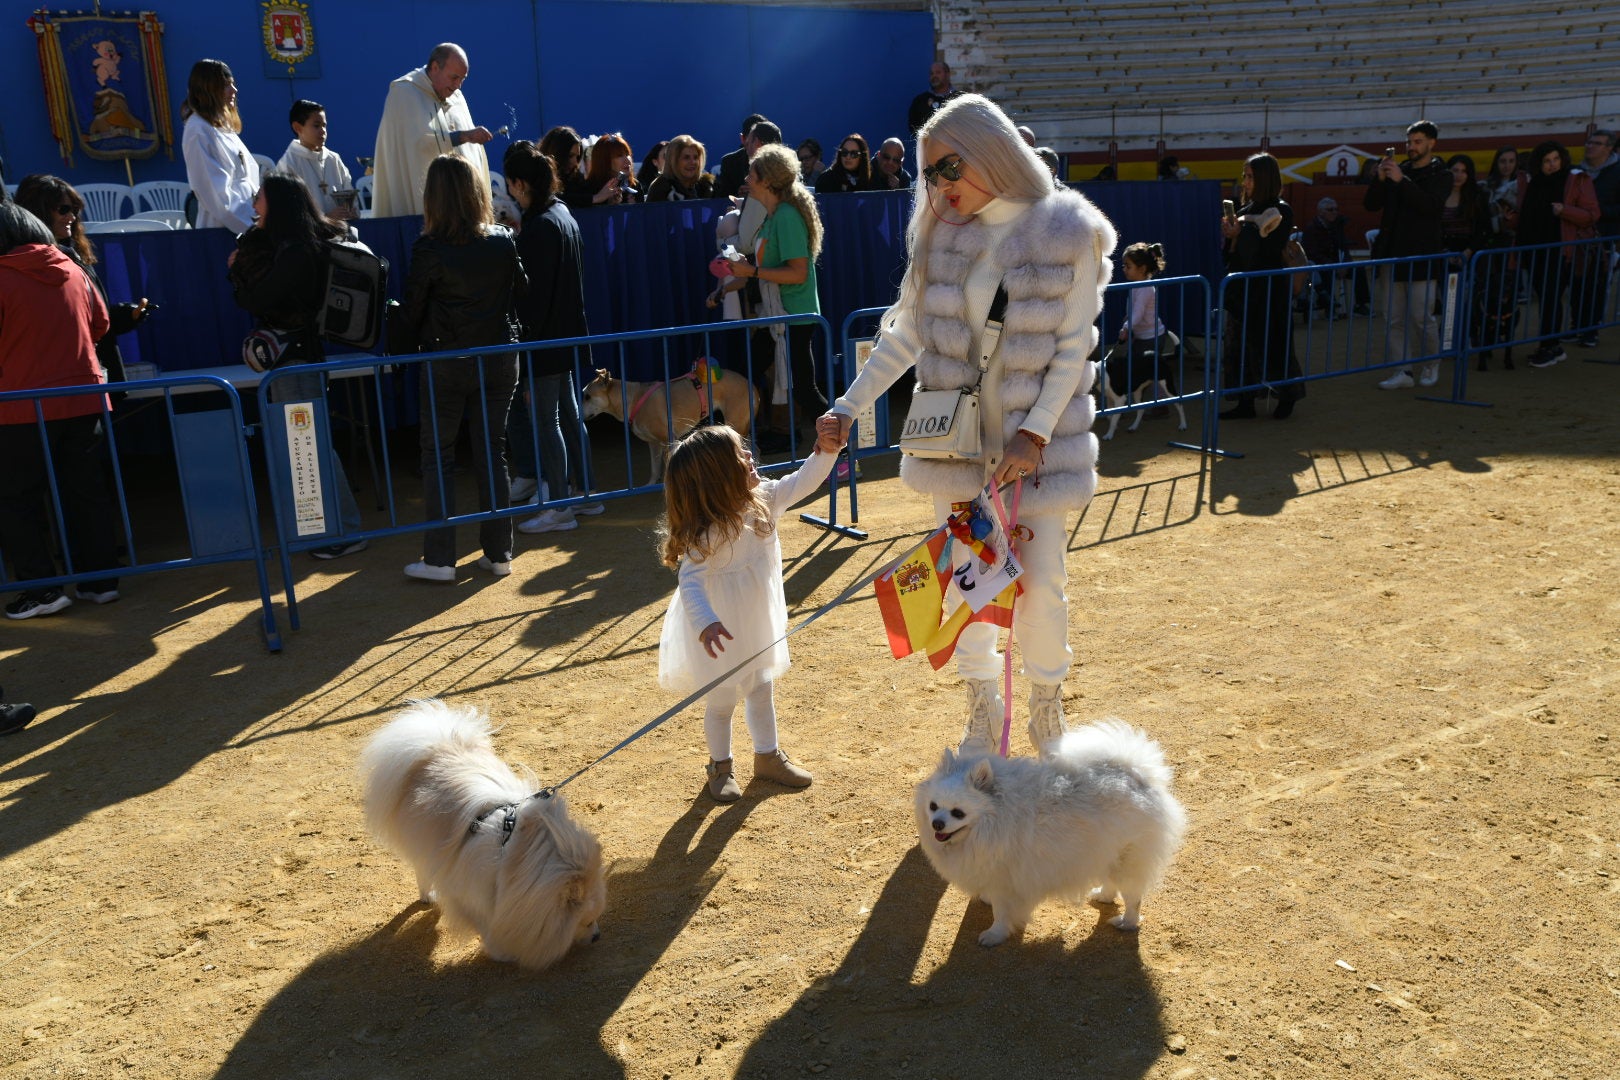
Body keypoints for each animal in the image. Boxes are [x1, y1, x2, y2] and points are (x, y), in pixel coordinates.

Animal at [361, 702, 609, 971]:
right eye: (586, 921)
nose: (597, 937)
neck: (514, 857)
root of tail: (435, 746)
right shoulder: (472, 894)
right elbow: (486, 924)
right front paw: (502, 953)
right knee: (422, 868)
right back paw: (428, 896)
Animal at [920, 725, 1185, 945]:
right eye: (933, 806)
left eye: (958, 812)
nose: (937, 824)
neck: (993, 821)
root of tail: (1138, 773)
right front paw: (986, 900)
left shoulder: (1007, 882)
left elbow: (1001, 913)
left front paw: (994, 935)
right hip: (1106, 851)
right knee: (1111, 882)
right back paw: (1103, 896)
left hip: (1127, 858)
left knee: (1133, 897)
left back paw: (1127, 922)